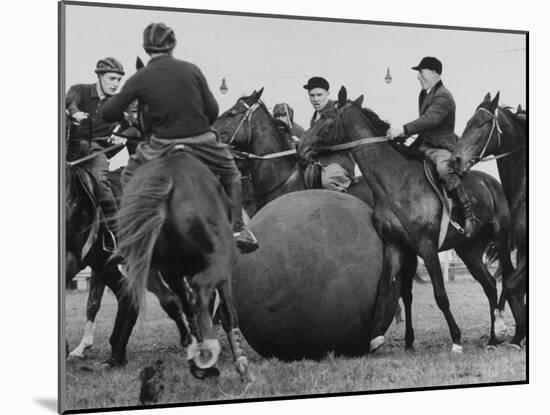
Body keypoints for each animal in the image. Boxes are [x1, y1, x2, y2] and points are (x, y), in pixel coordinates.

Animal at [106, 151, 252, 382]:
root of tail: (167, 176)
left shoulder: (171, 272)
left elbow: (183, 304)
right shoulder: (220, 270)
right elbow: (227, 312)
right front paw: (240, 361)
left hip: (150, 263)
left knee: (174, 301)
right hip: (220, 257)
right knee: (200, 291)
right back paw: (210, 352)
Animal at [300, 87, 520, 352]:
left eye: (327, 119)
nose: (300, 146)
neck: (395, 181)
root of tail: (491, 182)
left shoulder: (426, 247)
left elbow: (440, 295)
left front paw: (456, 339)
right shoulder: (396, 248)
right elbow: (385, 290)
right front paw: (376, 338)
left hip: (501, 240)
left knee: (507, 278)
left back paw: (506, 330)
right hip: (469, 251)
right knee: (489, 284)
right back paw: (494, 337)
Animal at [454, 92, 528, 348]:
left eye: (482, 123)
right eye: (468, 121)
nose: (456, 159)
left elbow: (512, 285)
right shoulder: (520, 249)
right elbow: (513, 286)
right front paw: (517, 335)